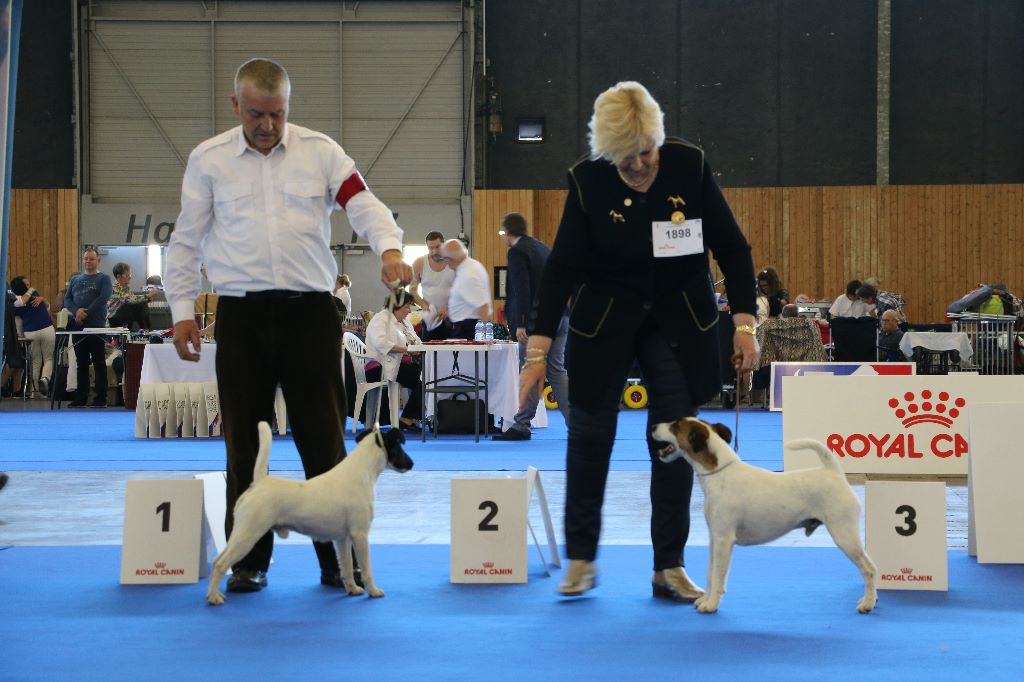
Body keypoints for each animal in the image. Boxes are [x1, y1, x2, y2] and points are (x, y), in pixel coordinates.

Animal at [205, 419, 413, 606]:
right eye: (399, 446)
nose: (412, 464)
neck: (362, 472)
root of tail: (259, 483)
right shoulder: (360, 535)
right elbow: (367, 567)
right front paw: (373, 591)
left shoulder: (342, 539)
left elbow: (346, 566)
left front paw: (352, 588)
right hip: (248, 535)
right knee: (221, 564)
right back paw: (214, 597)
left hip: (242, 534)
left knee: (218, 561)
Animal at [651, 417, 876, 614]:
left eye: (676, 425)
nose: (652, 426)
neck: (718, 473)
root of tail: (834, 473)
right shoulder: (714, 538)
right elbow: (710, 573)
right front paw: (705, 600)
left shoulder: (724, 540)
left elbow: (718, 575)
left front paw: (712, 604)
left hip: (844, 535)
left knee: (869, 569)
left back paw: (868, 603)